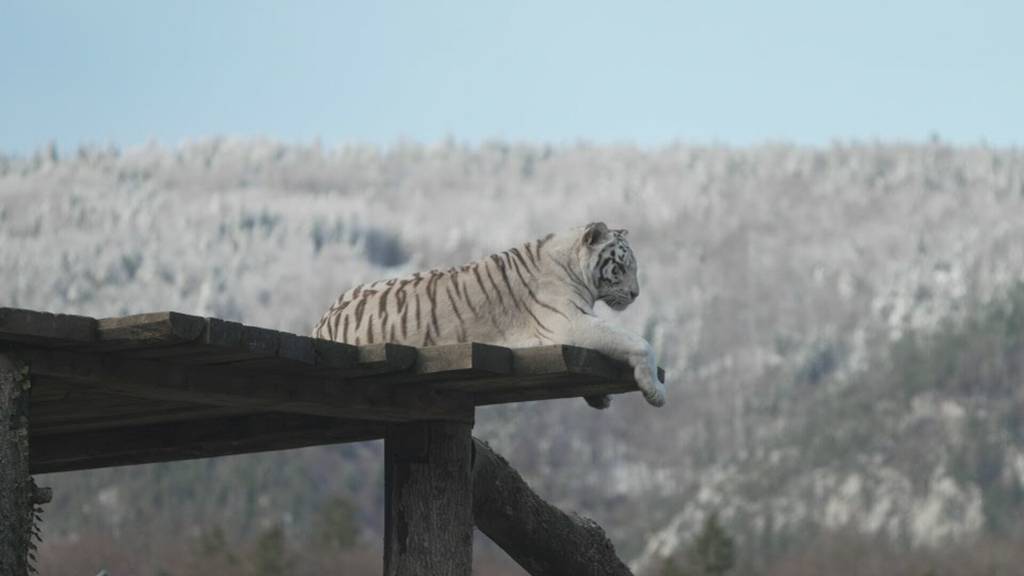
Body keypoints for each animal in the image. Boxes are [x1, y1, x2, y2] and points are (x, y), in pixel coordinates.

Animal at [311, 219, 663, 403]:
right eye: (621, 266)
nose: (636, 293)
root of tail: (320, 322)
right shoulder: (569, 322)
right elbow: (637, 342)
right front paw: (655, 391)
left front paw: (601, 397)